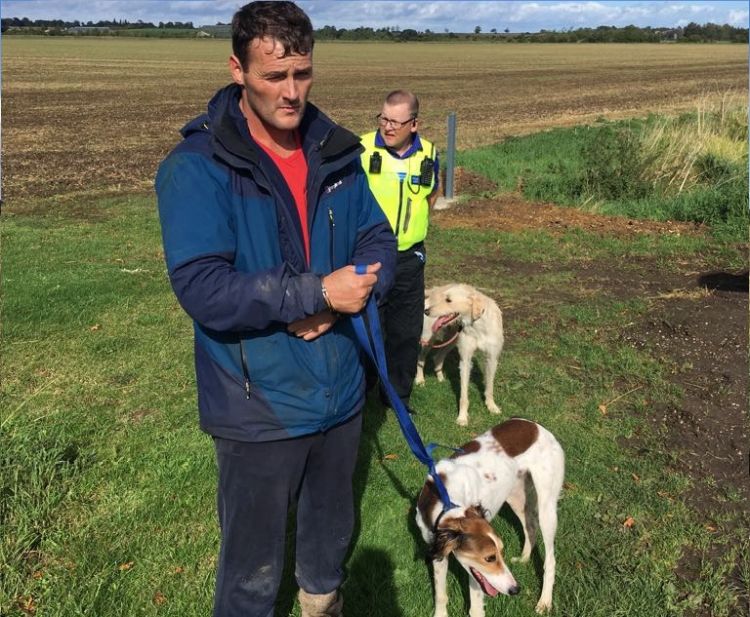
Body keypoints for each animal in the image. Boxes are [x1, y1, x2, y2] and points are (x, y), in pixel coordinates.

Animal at [414, 416, 568, 612]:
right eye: (490, 557)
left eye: (500, 552)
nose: (516, 589)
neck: (445, 499)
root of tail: (535, 425)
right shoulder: (438, 551)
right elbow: (441, 595)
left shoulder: (475, 571)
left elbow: (475, 608)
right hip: (516, 497)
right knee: (530, 527)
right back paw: (524, 558)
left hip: (547, 507)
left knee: (550, 559)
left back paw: (545, 601)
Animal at [418, 282, 506, 424]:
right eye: (444, 298)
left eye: (448, 300)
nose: (427, 312)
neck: (478, 325)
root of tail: (435, 290)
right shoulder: (465, 361)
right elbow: (463, 395)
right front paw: (462, 417)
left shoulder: (492, 359)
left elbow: (489, 388)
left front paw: (492, 406)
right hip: (428, 340)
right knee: (420, 359)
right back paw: (420, 380)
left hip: (452, 340)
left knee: (438, 357)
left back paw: (440, 378)